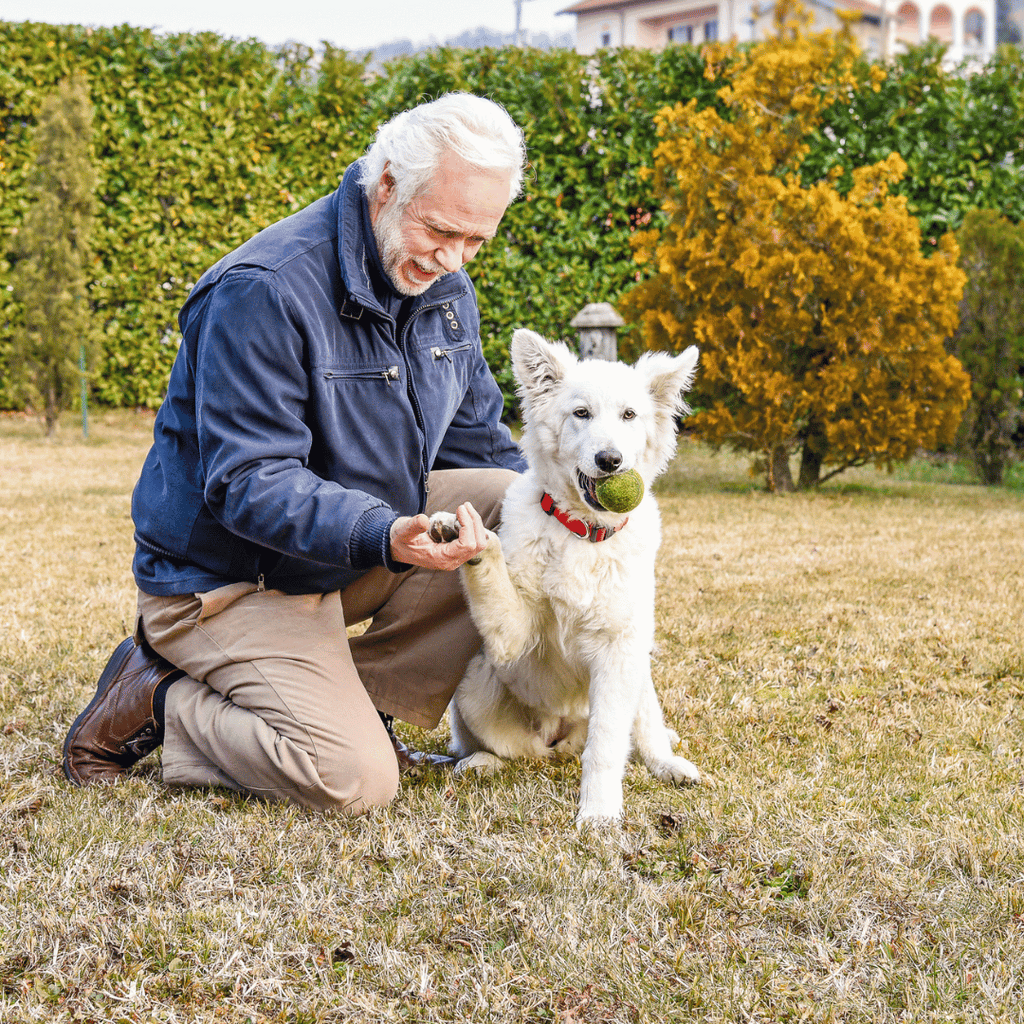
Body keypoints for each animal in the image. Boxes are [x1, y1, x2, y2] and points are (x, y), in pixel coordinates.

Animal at [432, 327, 704, 823]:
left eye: (629, 415)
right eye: (581, 413)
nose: (610, 460)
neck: (585, 533)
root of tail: (556, 738)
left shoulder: (619, 650)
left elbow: (607, 746)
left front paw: (598, 813)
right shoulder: (513, 636)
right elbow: (493, 572)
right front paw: (463, 534)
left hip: (638, 670)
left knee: (640, 730)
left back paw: (667, 762)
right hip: (475, 687)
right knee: (500, 749)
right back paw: (479, 762)